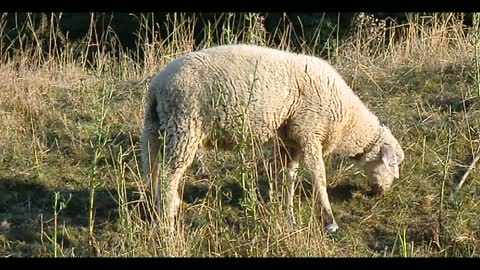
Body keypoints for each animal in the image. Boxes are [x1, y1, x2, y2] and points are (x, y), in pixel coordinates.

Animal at [140, 43, 404, 232]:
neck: (347, 119)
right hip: (184, 127)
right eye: (392, 164)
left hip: (160, 128)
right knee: (167, 176)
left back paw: (158, 210)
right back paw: (167, 222)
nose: (382, 193)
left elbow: (288, 179)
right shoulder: (309, 133)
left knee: (154, 170)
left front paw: (288, 216)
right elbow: (319, 178)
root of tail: (157, 86)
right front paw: (330, 221)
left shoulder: (290, 142)